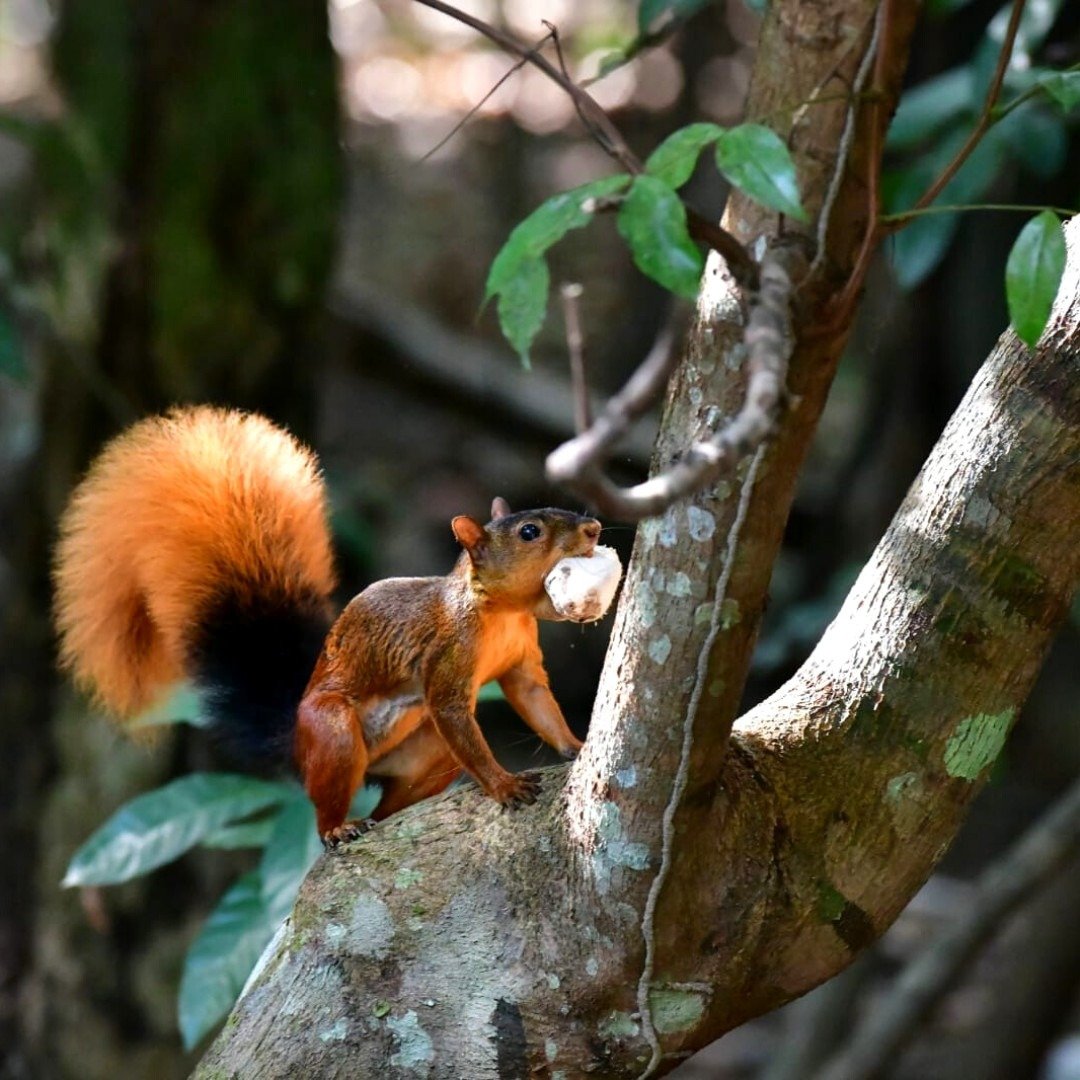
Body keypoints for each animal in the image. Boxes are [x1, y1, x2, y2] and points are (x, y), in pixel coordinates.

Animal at [53, 406, 600, 845]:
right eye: (529, 532)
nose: (593, 528)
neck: (503, 614)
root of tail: (297, 745)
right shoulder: (447, 655)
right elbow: (453, 710)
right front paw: (504, 784)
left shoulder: (522, 661)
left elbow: (534, 700)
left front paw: (576, 747)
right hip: (332, 733)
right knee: (327, 809)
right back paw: (338, 829)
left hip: (422, 755)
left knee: (391, 800)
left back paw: (381, 819)